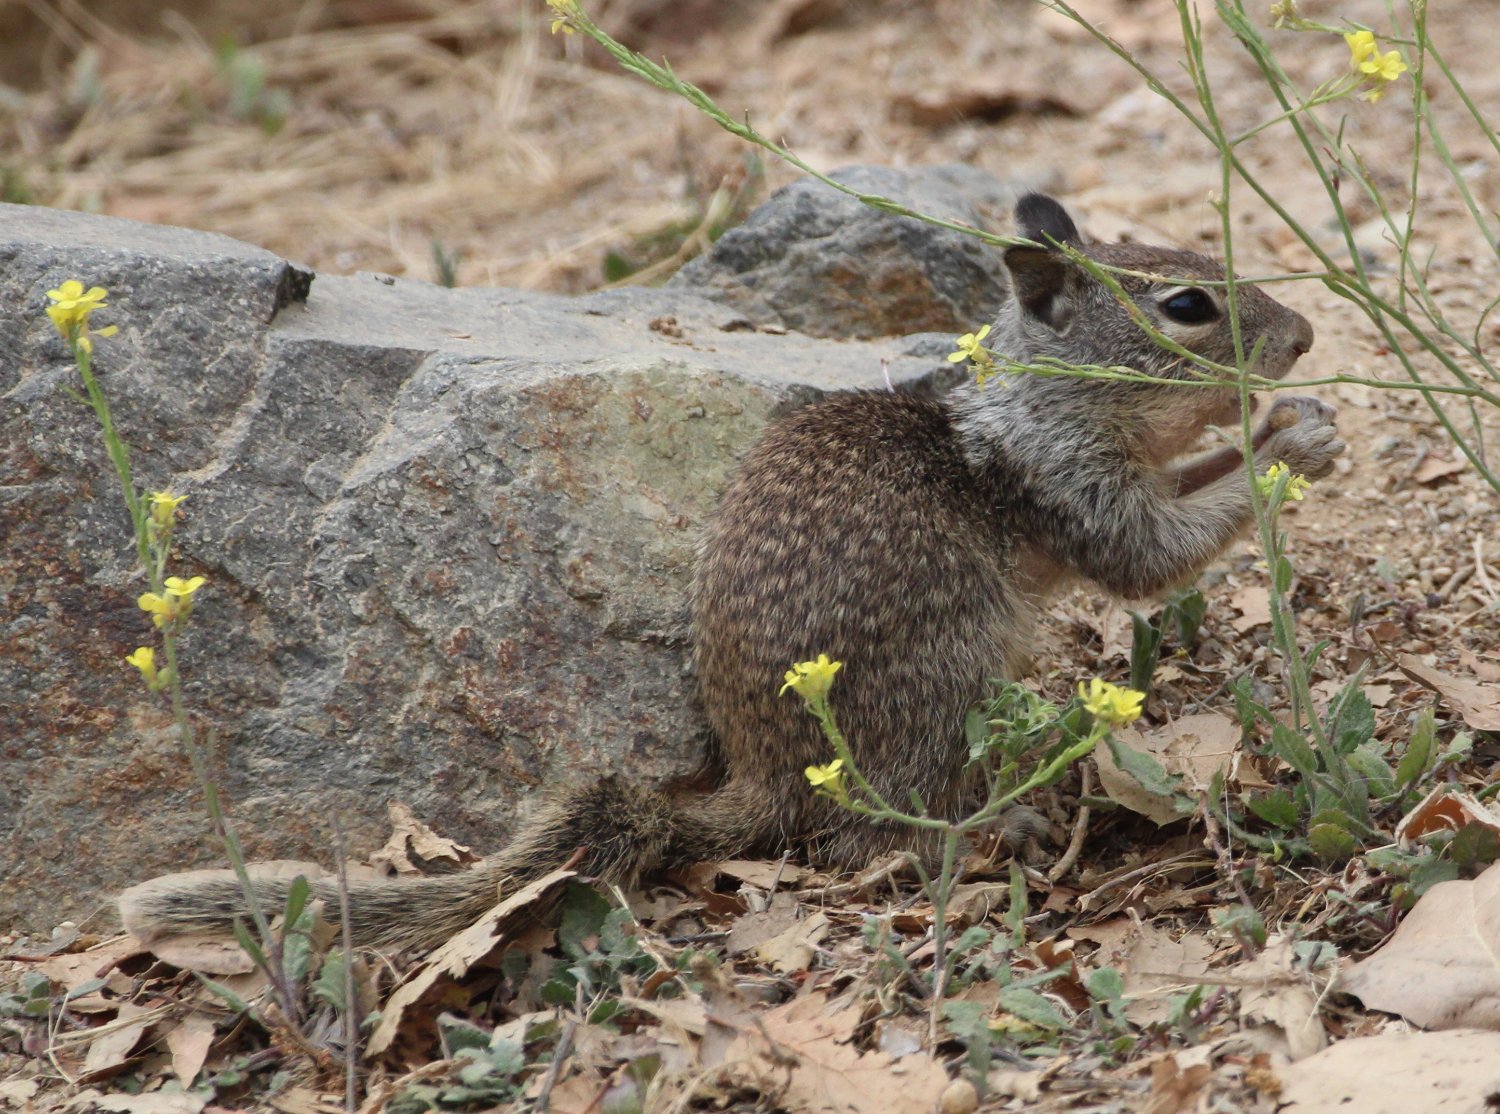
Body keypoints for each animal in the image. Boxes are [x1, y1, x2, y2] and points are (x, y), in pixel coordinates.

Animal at [119, 194, 1344, 951]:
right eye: (1186, 306)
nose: (1305, 337)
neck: (1041, 404)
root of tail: (762, 777)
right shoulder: (1082, 496)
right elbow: (1162, 552)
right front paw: (1289, 439)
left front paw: (1299, 422)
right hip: (942, 683)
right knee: (876, 832)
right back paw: (1010, 828)